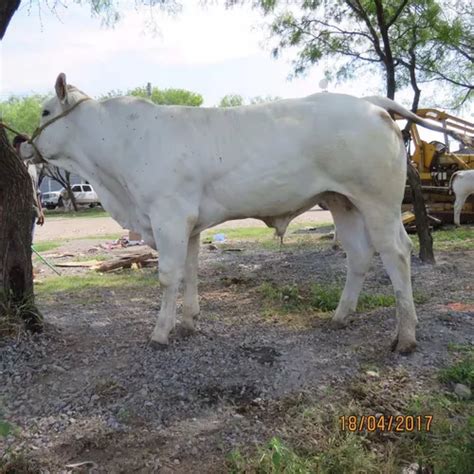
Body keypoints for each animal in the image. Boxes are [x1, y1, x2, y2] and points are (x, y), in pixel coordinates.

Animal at [21, 73, 452, 352]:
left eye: (44, 112)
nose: (21, 143)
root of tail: (368, 103)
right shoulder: (190, 224)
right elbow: (191, 272)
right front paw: (189, 322)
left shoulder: (168, 216)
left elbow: (167, 276)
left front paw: (160, 333)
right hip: (340, 200)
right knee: (359, 254)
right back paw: (341, 316)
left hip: (378, 202)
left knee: (396, 253)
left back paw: (406, 337)